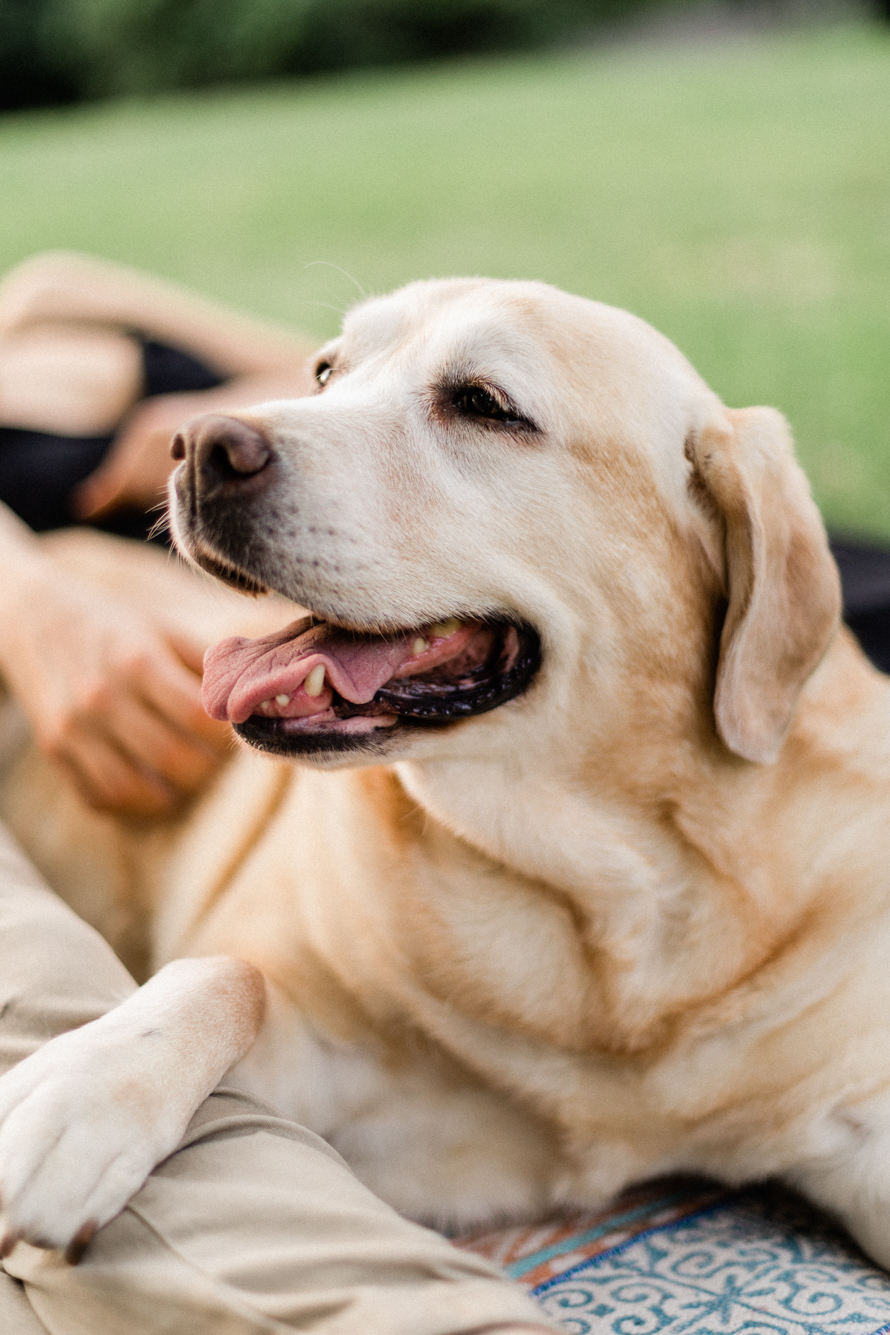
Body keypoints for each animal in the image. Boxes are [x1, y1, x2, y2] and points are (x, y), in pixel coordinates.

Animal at [2, 276, 890, 1272]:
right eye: (325, 371)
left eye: (483, 404)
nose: (196, 446)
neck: (612, 901)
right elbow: (231, 974)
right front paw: (76, 1100)